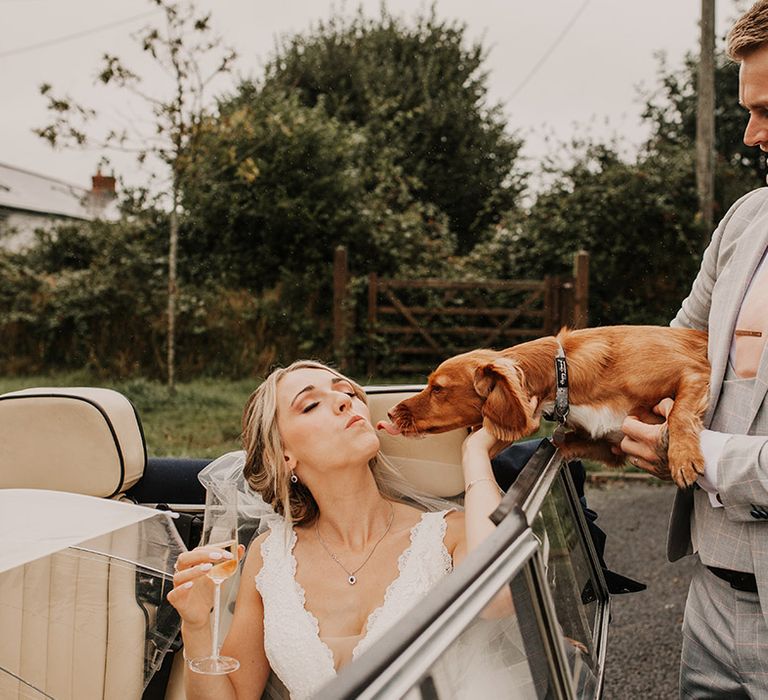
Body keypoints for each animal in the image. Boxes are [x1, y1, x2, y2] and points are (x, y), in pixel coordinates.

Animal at [380, 326, 712, 486]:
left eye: (437, 388)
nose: (390, 413)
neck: (563, 375)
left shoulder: (695, 371)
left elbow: (680, 412)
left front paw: (683, 457)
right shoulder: (613, 446)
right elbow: (560, 441)